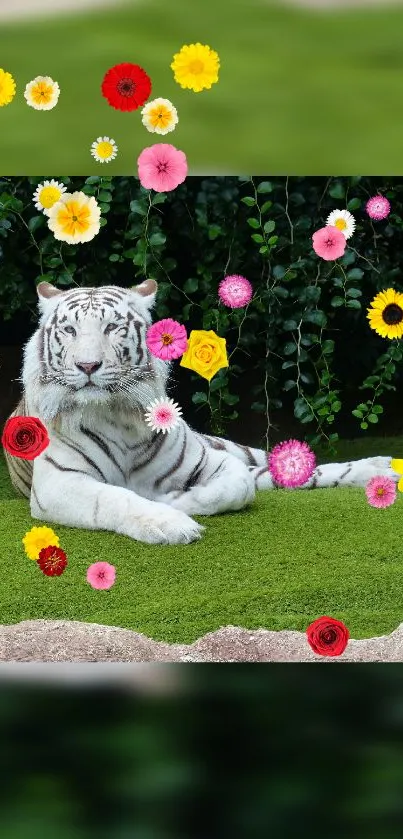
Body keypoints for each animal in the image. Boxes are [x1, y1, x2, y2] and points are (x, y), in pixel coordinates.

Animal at [3, 278, 400, 548]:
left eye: (112, 327)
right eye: (69, 330)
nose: (87, 366)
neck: (117, 414)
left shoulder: (213, 461)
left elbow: (236, 487)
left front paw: (175, 500)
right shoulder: (57, 483)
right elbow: (116, 497)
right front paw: (169, 521)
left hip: (235, 448)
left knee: (286, 466)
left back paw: (381, 468)